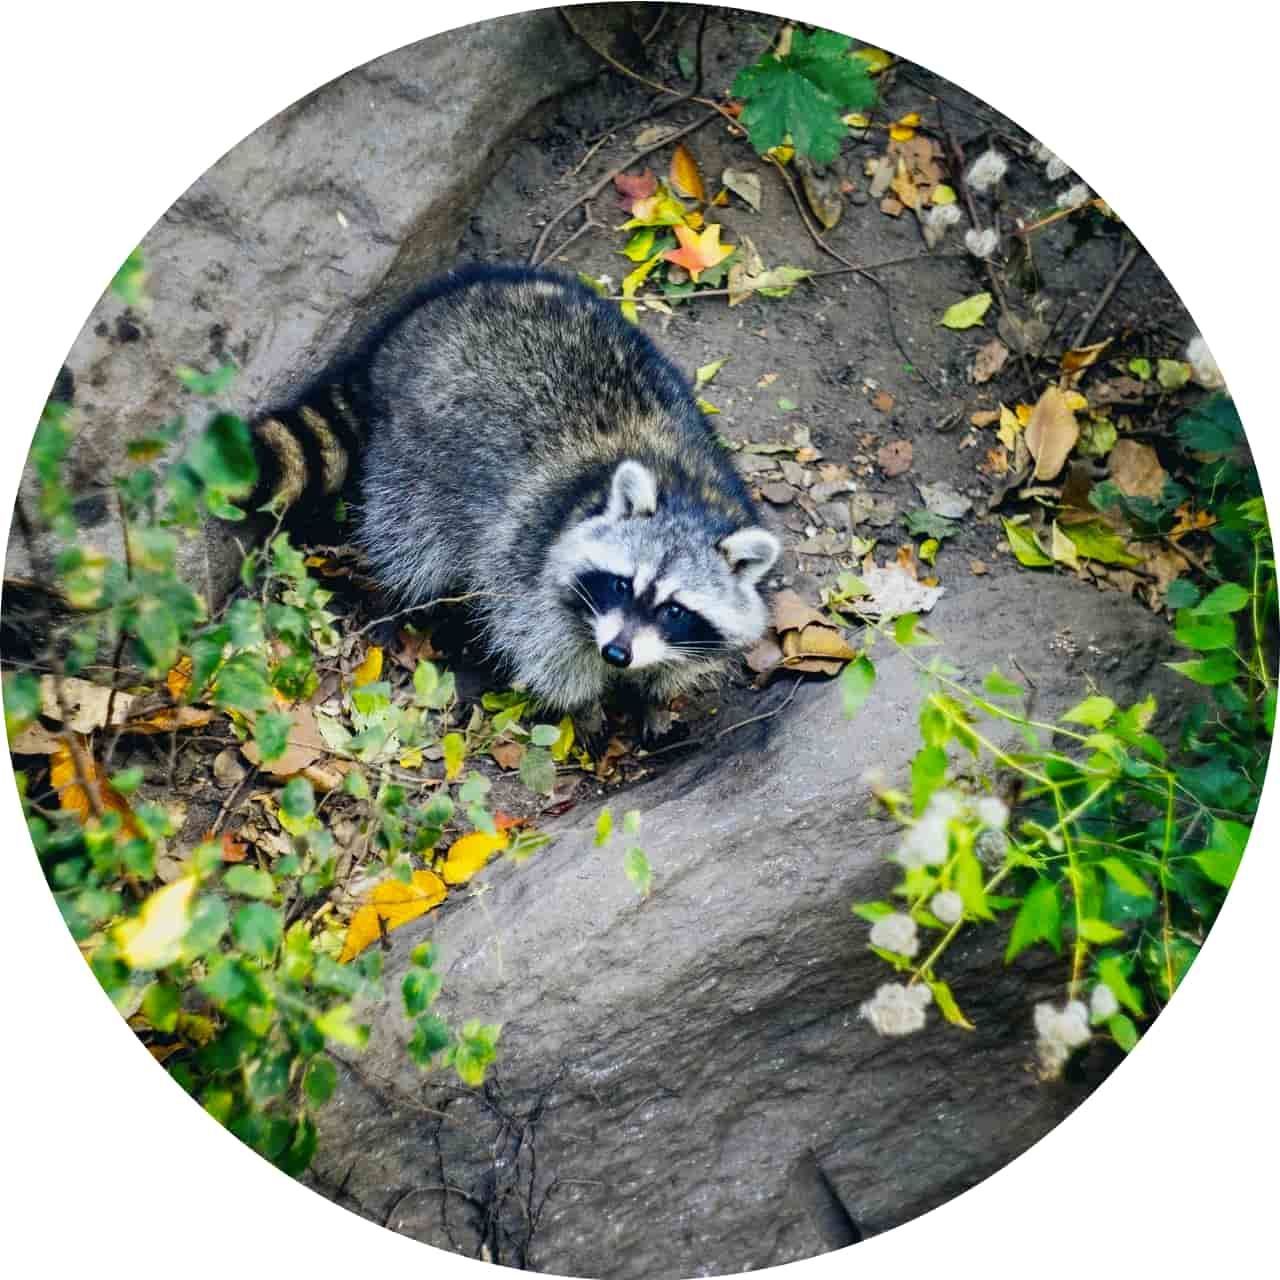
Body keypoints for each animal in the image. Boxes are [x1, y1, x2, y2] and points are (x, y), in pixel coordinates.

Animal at [248, 264, 780, 738]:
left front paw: (654, 697)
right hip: (416, 460)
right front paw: (585, 709)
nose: (616, 654)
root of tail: (405, 332)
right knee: (412, 540)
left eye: (675, 610)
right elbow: (543, 648)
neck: (688, 495)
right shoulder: (529, 559)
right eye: (621, 584)